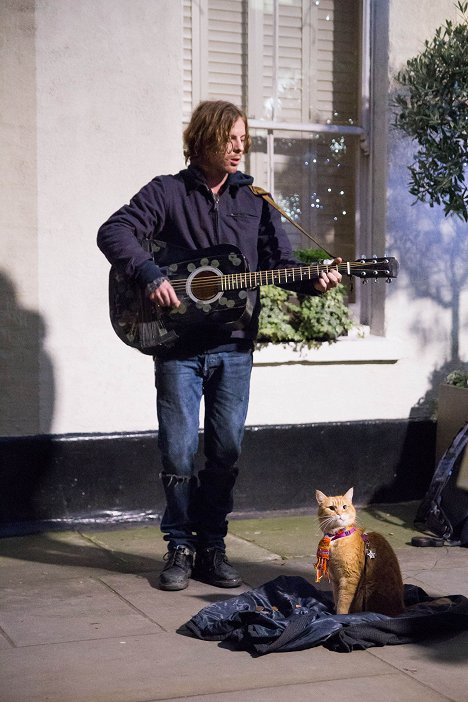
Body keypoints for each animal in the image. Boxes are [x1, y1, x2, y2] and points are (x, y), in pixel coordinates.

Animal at [314, 486, 406, 620]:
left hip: (366, 589)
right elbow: (337, 598)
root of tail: (401, 610)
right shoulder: (336, 580)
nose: (339, 514)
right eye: (331, 508)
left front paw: (340, 616)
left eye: (344, 507)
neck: (338, 536)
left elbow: (343, 603)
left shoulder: (349, 578)